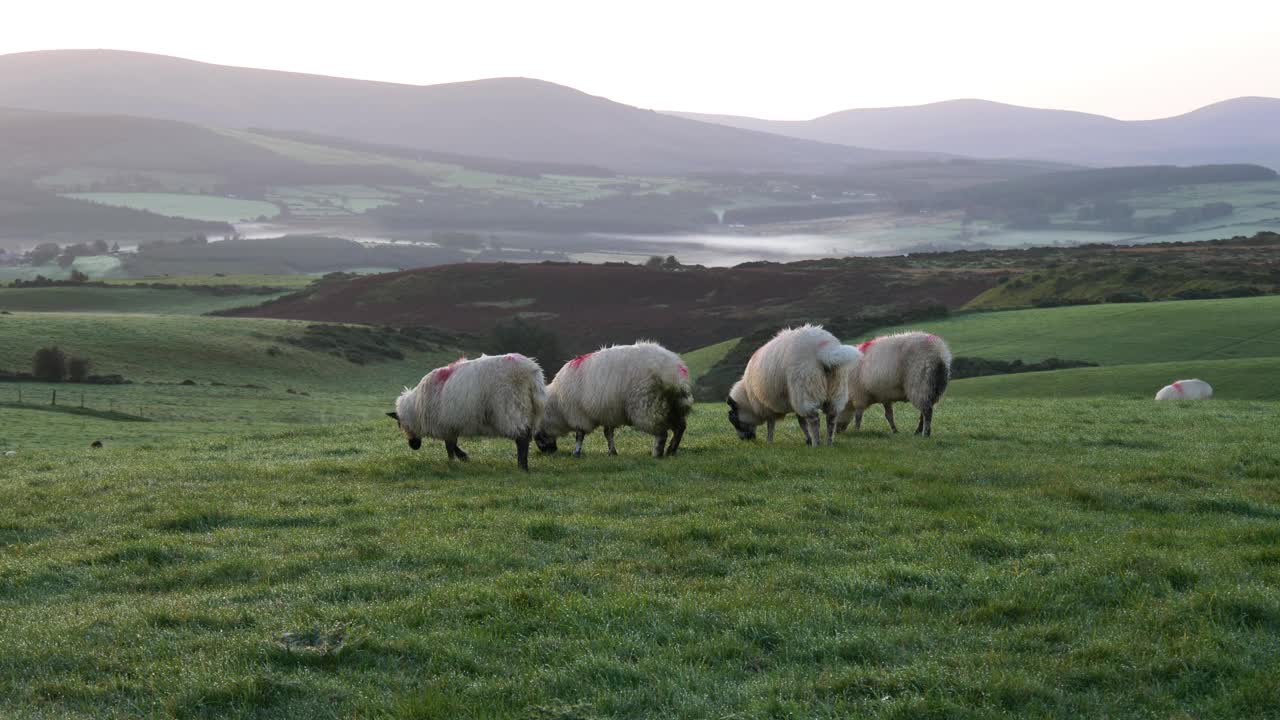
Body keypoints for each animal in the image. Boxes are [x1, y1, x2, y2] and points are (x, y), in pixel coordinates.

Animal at [389, 351, 550, 471]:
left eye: (399, 424)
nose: (413, 446)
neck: (415, 408)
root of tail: (531, 371)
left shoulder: (445, 424)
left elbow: (450, 446)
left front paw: (456, 460)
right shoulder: (450, 424)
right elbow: (451, 444)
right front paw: (460, 458)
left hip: (511, 408)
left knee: (522, 438)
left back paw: (522, 467)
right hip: (530, 411)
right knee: (526, 437)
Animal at [535, 340, 696, 453]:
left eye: (536, 435)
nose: (548, 452)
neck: (557, 406)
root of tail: (673, 371)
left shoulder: (578, 415)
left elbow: (579, 436)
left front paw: (576, 452)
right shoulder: (608, 412)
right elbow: (608, 434)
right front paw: (612, 452)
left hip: (647, 405)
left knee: (662, 433)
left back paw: (657, 452)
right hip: (673, 405)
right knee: (680, 428)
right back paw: (671, 450)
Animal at [732, 324, 860, 443]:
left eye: (734, 419)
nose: (743, 439)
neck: (748, 396)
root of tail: (824, 349)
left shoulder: (767, 406)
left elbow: (771, 425)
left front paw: (769, 442)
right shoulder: (792, 401)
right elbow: (801, 423)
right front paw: (807, 440)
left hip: (805, 388)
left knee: (814, 420)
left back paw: (817, 444)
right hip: (836, 388)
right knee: (831, 418)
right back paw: (829, 443)